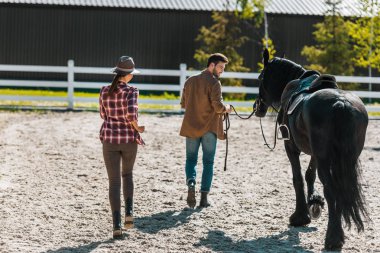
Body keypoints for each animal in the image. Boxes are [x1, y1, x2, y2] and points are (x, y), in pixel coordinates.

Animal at [255, 48, 368, 250]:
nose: (257, 107)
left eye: (260, 77)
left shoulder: (291, 147)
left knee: (331, 190)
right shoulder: (316, 154)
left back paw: (333, 238)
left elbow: (298, 178)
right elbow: (309, 174)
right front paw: (314, 201)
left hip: (325, 159)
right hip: (345, 159)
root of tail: (341, 103)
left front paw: (300, 216)